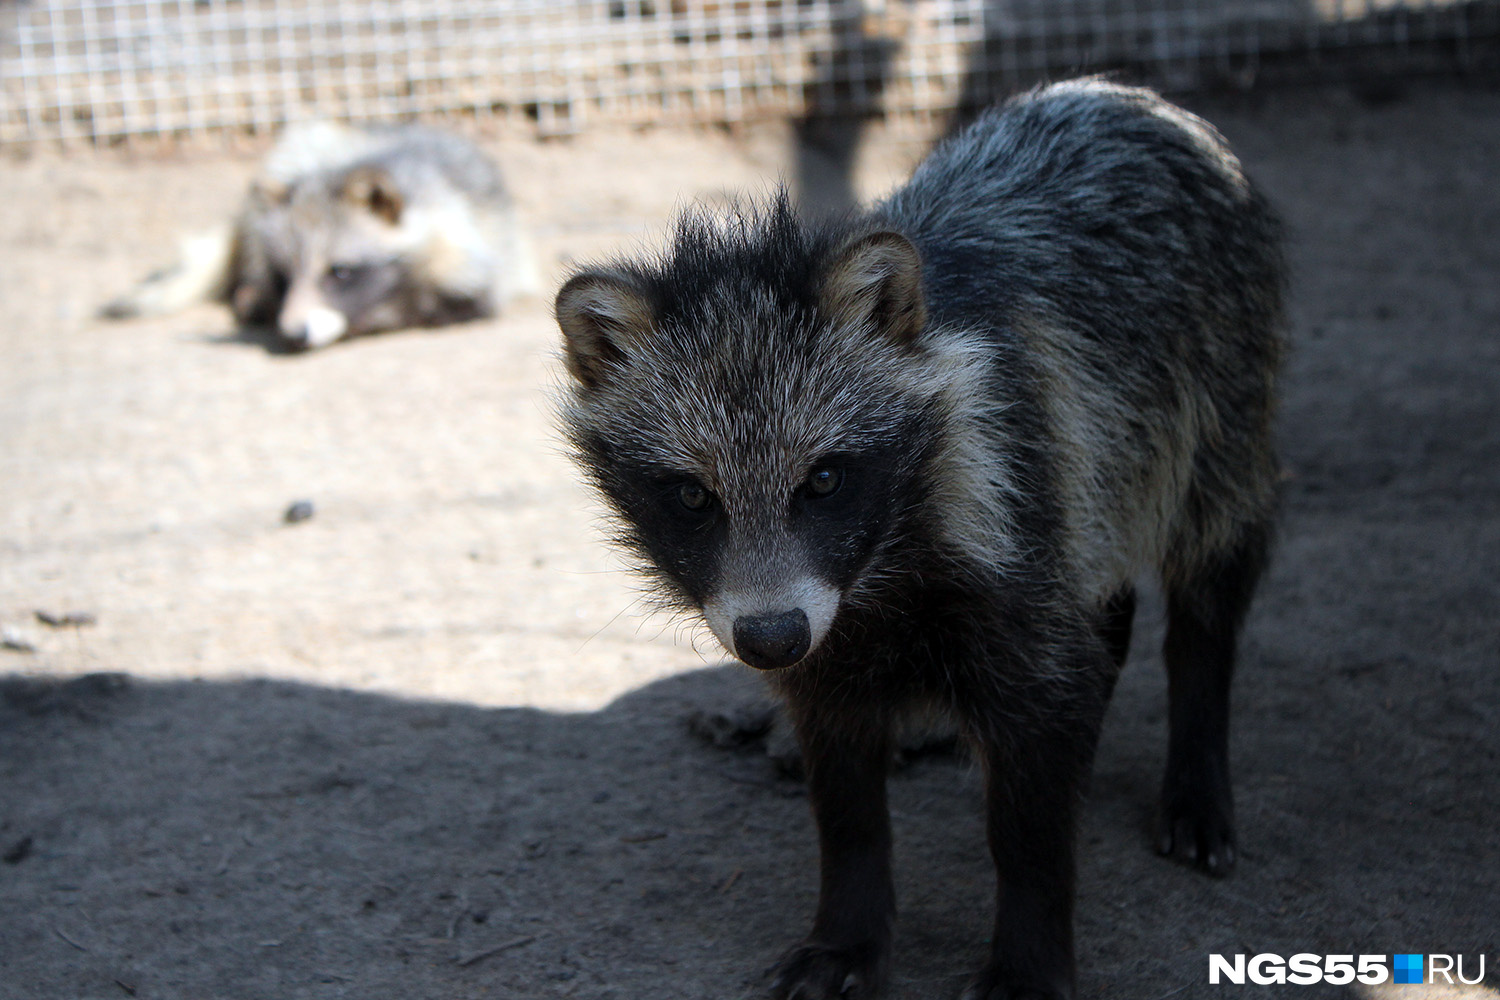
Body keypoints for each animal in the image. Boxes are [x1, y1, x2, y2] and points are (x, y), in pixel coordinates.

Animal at [558, 80, 1284, 1000]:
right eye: (692, 496)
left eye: (824, 480)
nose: (769, 639)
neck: (880, 570)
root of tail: (1123, 95)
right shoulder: (827, 638)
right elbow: (845, 794)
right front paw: (850, 923)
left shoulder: (1017, 504)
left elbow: (1034, 781)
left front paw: (1030, 940)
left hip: (1219, 399)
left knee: (1209, 572)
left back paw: (1197, 748)